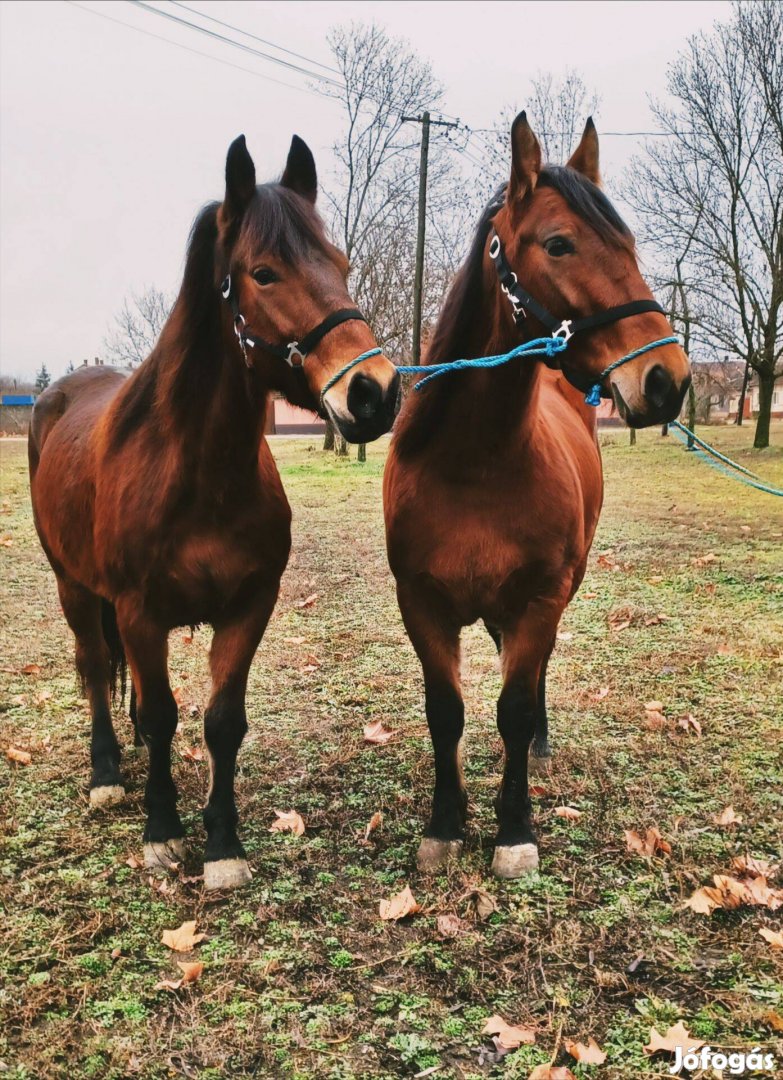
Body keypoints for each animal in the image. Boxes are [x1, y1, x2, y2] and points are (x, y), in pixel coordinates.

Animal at [28, 135, 399, 889]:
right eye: (263, 273)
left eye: (341, 264)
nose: (373, 392)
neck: (196, 479)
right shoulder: (138, 611)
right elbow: (162, 714)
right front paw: (162, 830)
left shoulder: (248, 606)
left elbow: (221, 720)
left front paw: (222, 842)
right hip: (73, 585)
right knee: (93, 667)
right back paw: (107, 774)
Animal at [384, 116, 691, 876]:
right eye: (558, 243)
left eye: (629, 244)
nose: (667, 378)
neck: (474, 466)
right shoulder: (421, 604)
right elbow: (447, 711)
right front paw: (445, 822)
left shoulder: (540, 597)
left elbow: (515, 707)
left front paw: (514, 827)